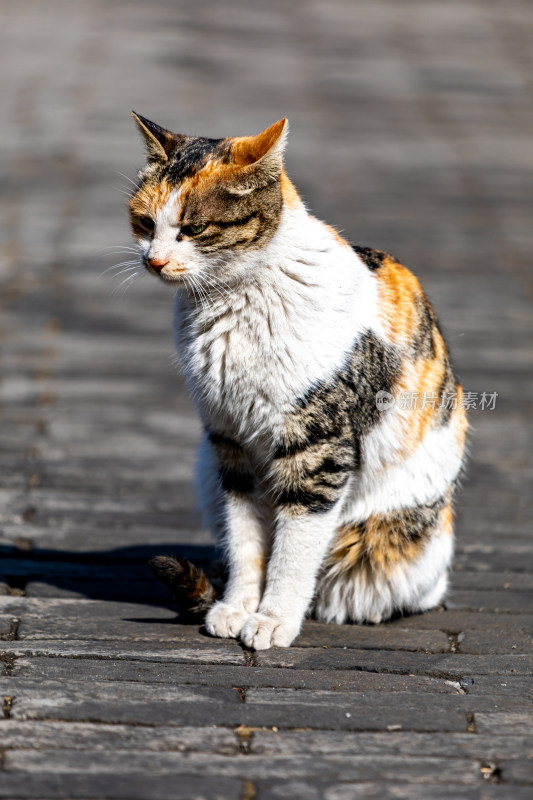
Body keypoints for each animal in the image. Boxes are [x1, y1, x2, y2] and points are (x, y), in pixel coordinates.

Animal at [128, 112, 466, 648]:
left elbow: (294, 546)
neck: (233, 301)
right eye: (144, 223)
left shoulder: (317, 450)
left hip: (387, 546)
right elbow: (246, 540)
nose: (154, 261)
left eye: (194, 228)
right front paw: (237, 608)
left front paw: (272, 620)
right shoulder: (229, 444)